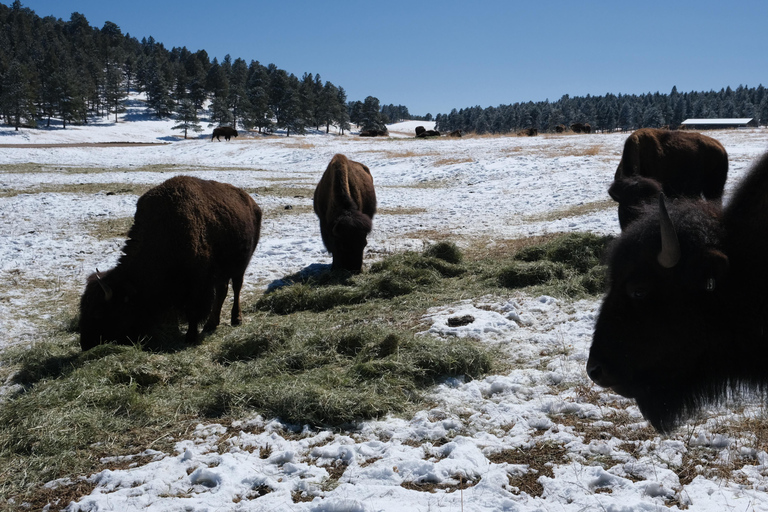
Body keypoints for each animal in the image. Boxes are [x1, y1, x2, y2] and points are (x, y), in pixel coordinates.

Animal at [78, 174, 262, 350]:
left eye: (98, 313)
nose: (85, 344)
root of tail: (251, 202)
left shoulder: (197, 285)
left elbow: (193, 311)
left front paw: (190, 337)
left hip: (240, 266)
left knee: (236, 287)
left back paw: (236, 319)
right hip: (223, 273)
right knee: (222, 291)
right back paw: (211, 325)